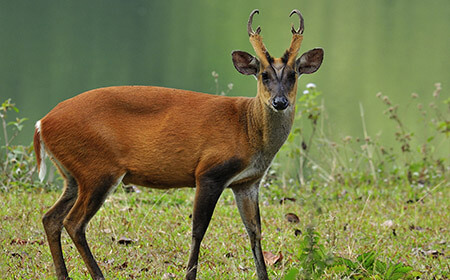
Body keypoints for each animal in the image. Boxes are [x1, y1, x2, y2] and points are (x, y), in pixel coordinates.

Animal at [34, 9, 324, 280]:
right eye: (263, 75)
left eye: (293, 75)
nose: (279, 102)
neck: (248, 128)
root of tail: (42, 123)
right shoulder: (209, 172)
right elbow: (198, 230)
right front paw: (190, 274)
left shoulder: (247, 182)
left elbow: (255, 231)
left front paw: (263, 274)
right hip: (98, 169)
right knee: (74, 223)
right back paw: (97, 274)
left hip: (74, 174)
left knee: (51, 218)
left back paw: (63, 274)